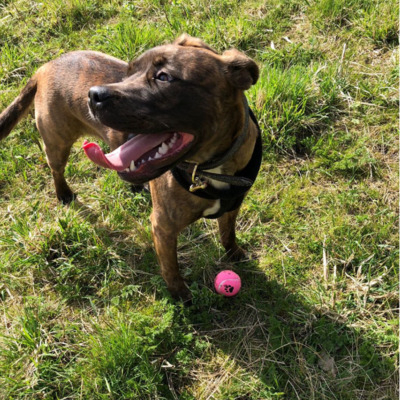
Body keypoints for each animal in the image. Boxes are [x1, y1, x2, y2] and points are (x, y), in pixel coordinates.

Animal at [0, 36, 260, 300]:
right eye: (128, 73)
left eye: (164, 77)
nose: (94, 95)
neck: (210, 168)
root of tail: (44, 67)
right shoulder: (163, 227)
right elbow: (171, 268)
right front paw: (181, 296)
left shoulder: (232, 206)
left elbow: (228, 233)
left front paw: (234, 254)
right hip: (57, 141)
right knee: (56, 169)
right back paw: (63, 193)